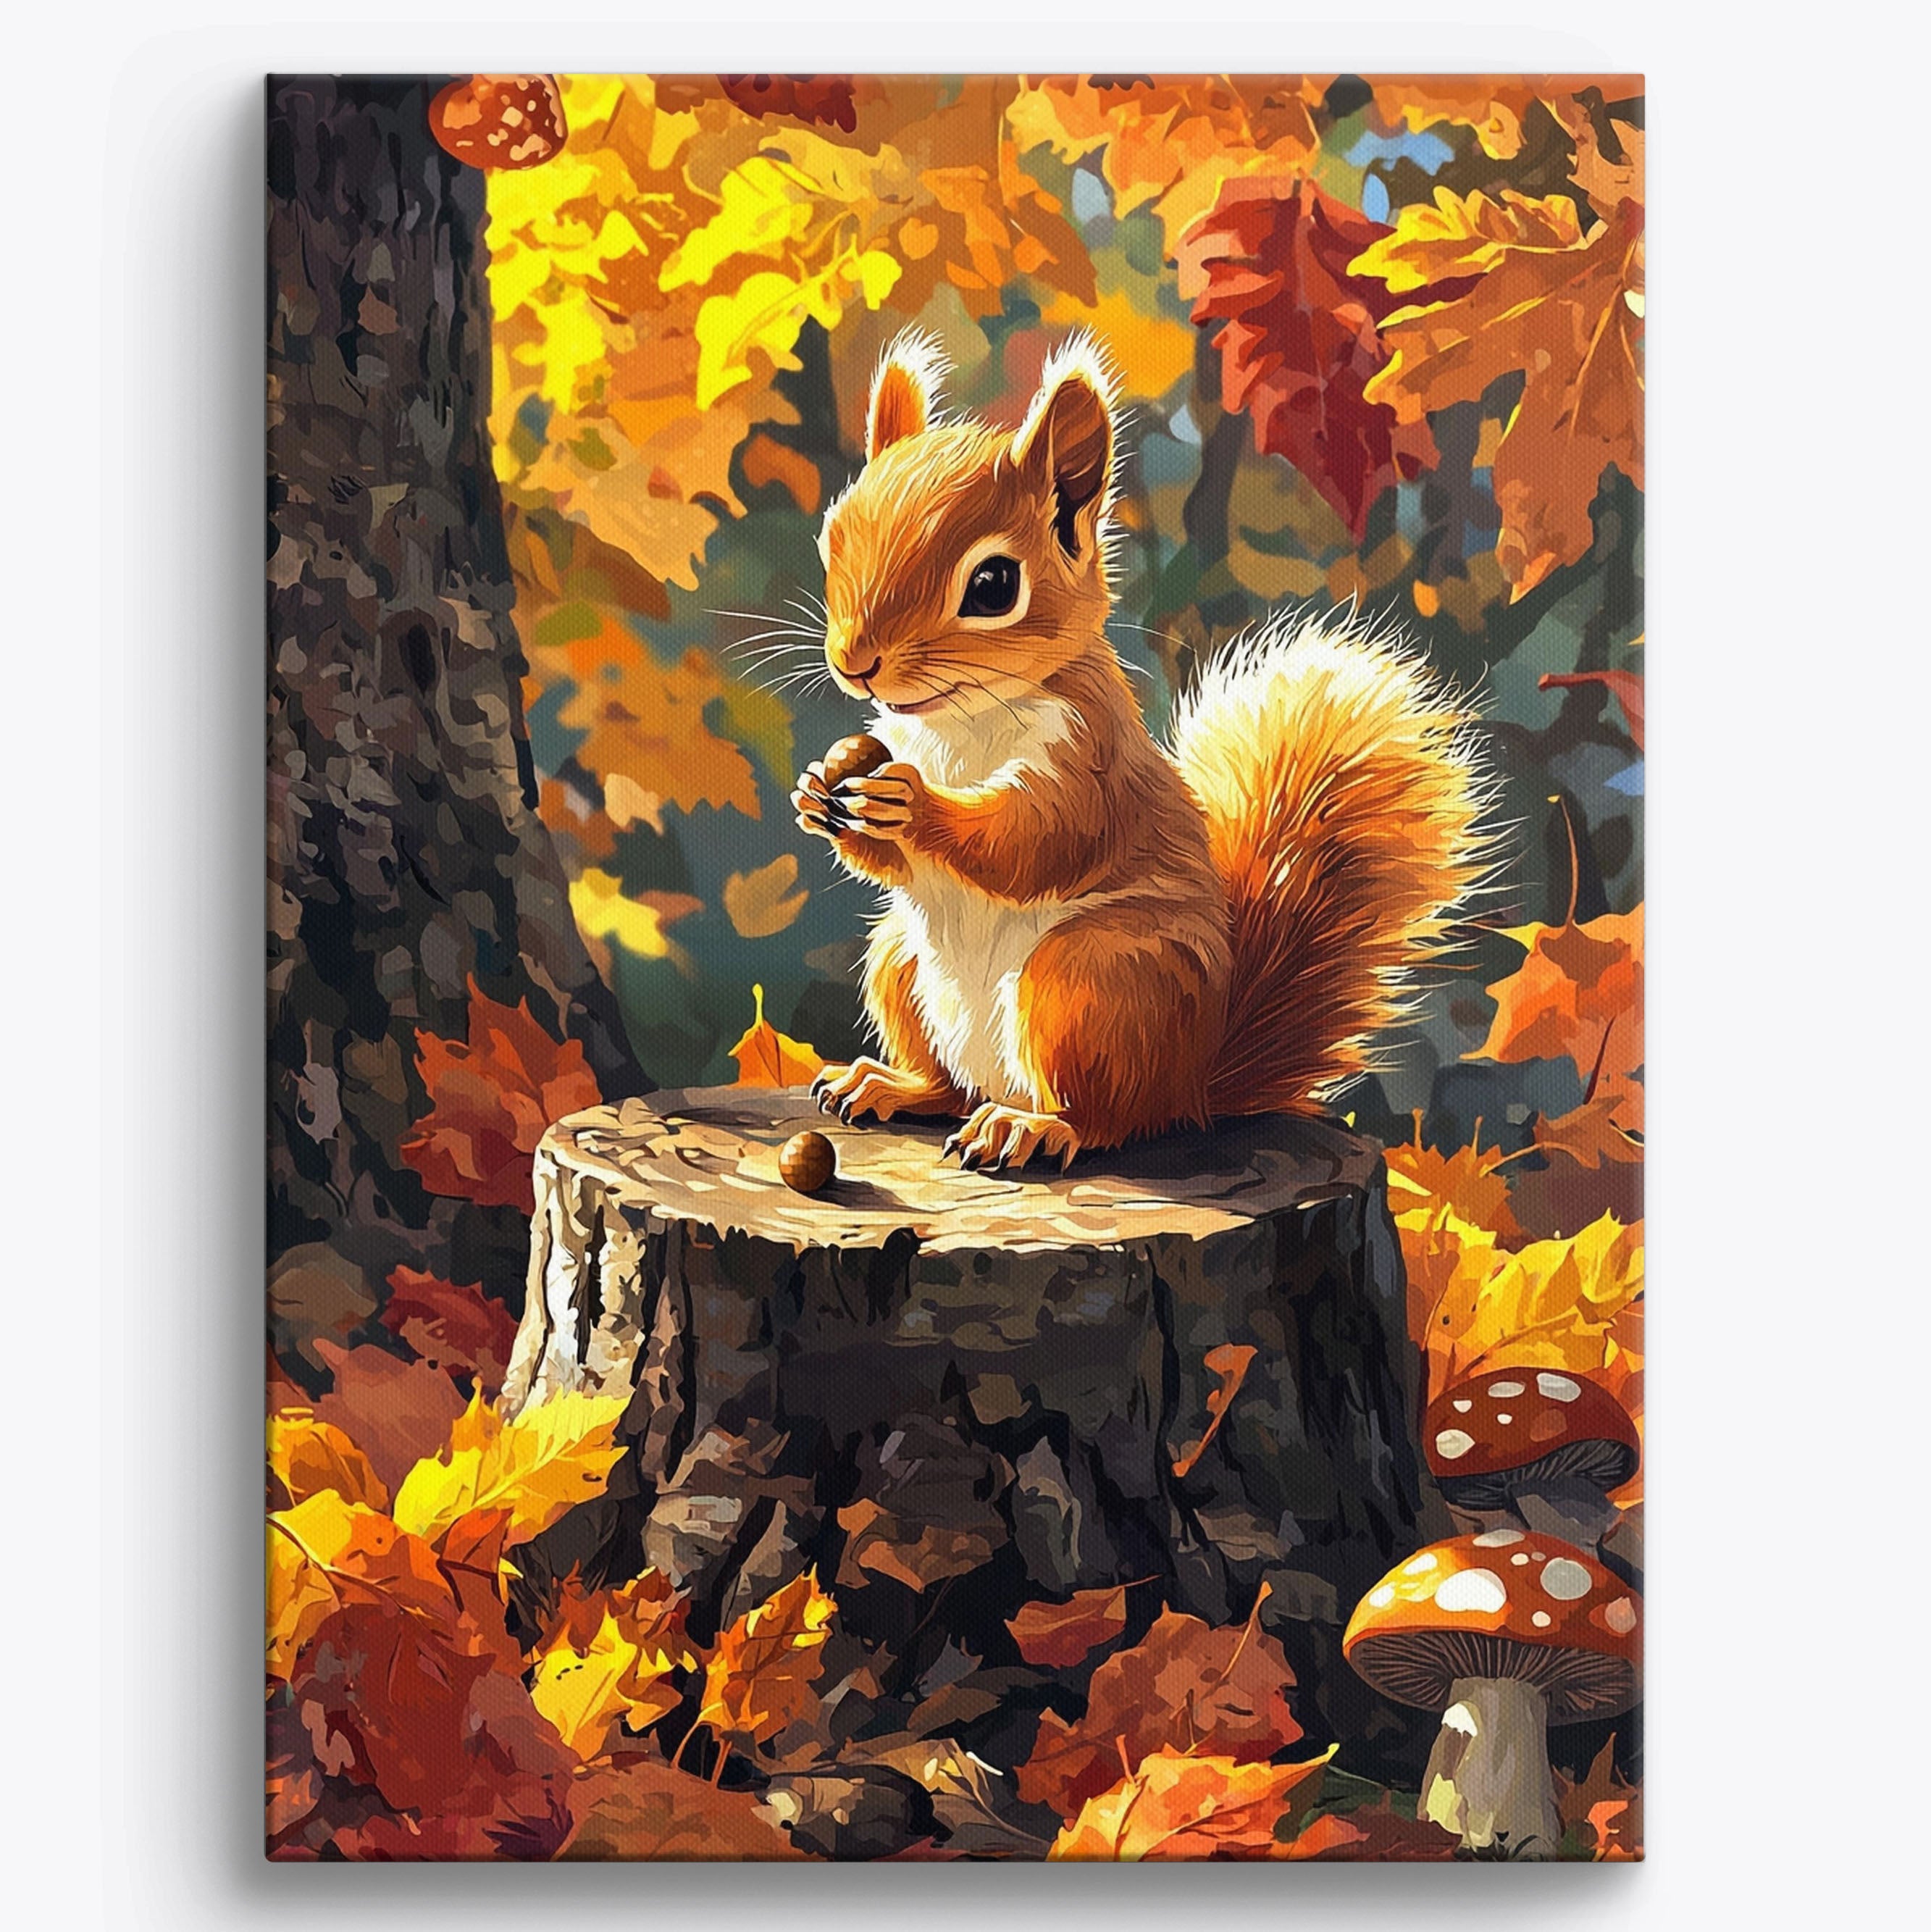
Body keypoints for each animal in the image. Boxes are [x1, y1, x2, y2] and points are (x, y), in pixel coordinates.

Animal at [791, 328, 1492, 1173]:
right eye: (831, 540)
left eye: (993, 585)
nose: (853, 662)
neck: (957, 723)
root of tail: (1194, 1087)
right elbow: (892, 862)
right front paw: (818, 786)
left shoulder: (1089, 758)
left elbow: (1036, 842)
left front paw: (913, 804)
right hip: (901, 958)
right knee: (947, 1083)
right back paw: (889, 1085)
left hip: (1093, 983)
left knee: (1100, 1118)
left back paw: (1030, 1127)